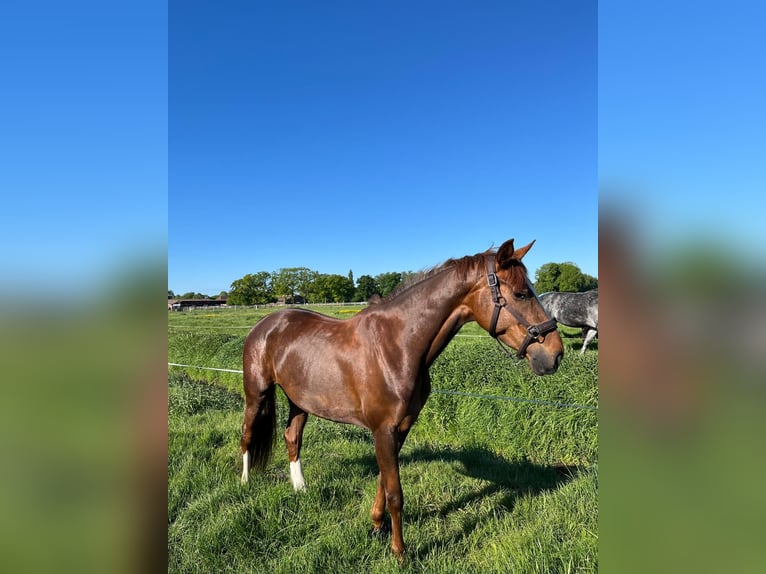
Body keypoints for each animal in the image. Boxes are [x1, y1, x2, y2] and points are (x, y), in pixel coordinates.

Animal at [239, 239, 564, 560]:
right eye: (521, 294)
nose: (555, 355)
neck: (397, 345)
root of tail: (266, 323)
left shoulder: (401, 427)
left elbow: (384, 481)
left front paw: (376, 526)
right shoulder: (383, 430)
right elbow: (395, 493)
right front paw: (399, 551)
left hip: (300, 402)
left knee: (292, 437)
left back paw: (301, 488)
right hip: (256, 395)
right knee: (247, 435)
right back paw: (245, 482)